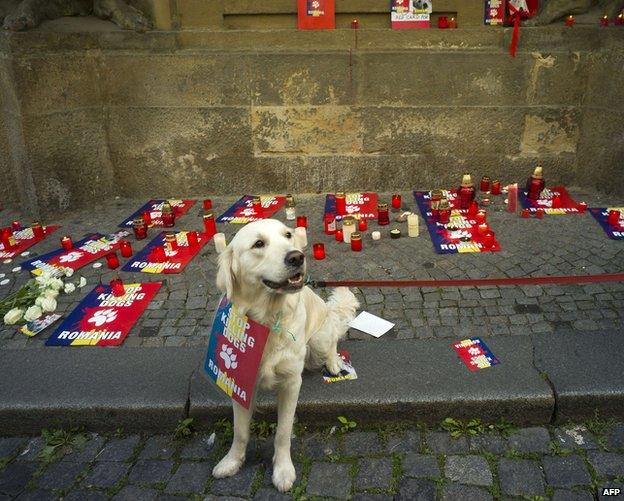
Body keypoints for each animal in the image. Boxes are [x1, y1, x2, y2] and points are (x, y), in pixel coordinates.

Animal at [212, 220, 358, 492]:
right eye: (258, 243)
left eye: (288, 235)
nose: (297, 257)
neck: (269, 321)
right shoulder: (240, 382)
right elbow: (240, 431)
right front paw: (232, 461)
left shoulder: (291, 383)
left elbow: (282, 432)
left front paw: (282, 470)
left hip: (319, 339)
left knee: (334, 337)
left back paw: (334, 362)